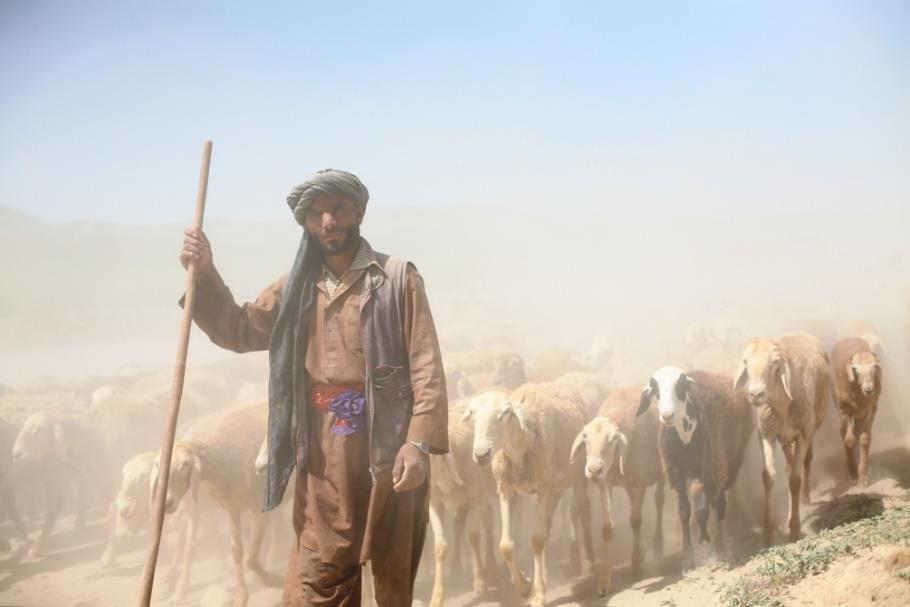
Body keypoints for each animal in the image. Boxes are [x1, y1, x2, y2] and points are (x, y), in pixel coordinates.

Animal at [466, 384, 596, 607]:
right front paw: (525, 586)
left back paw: (588, 565)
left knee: (583, 512)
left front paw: (539, 594)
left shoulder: (544, 486)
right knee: (548, 526)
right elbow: (506, 545)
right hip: (555, 489)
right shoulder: (507, 488)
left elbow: (536, 539)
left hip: (576, 478)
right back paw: (543, 576)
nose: (481, 454)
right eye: (473, 414)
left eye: (504, 413)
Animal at [568, 388, 664, 596]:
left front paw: (636, 564)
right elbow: (607, 529)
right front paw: (604, 580)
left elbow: (635, 520)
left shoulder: (641, 481)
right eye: (586, 438)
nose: (594, 470)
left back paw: (658, 544)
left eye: (612, 440)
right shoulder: (606, 483)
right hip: (627, 484)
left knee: (659, 501)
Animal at [736, 334, 832, 544]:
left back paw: (805, 498)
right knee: (788, 465)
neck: (781, 404)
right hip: (784, 438)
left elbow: (795, 480)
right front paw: (768, 532)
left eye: (775, 363)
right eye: (746, 362)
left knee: (806, 460)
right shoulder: (766, 434)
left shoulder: (803, 433)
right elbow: (768, 476)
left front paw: (795, 528)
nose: (755, 394)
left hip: (812, 425)